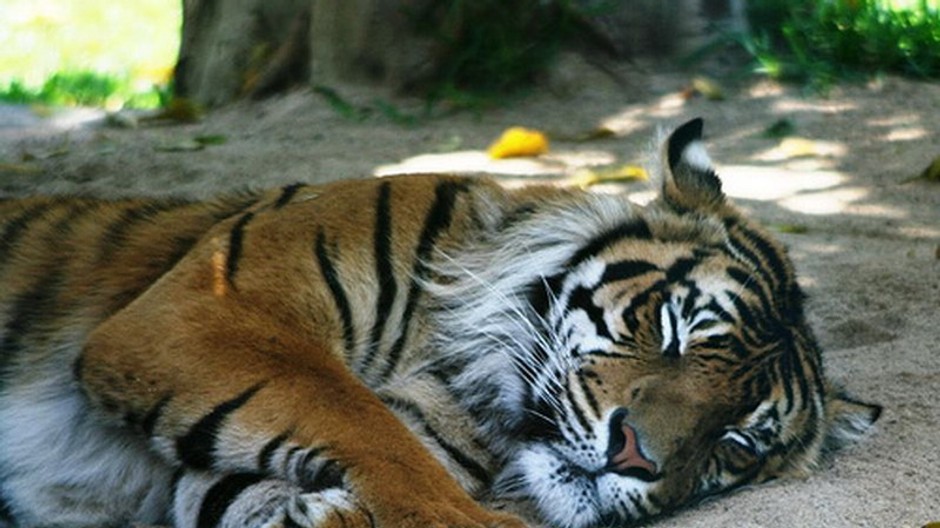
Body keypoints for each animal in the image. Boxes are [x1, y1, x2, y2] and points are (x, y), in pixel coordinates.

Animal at [0, 118, 880, 528]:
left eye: (737, 443)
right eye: (671, 328)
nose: (634, 458)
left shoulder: (212, 481)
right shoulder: (210, 306)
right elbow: (355, 416)